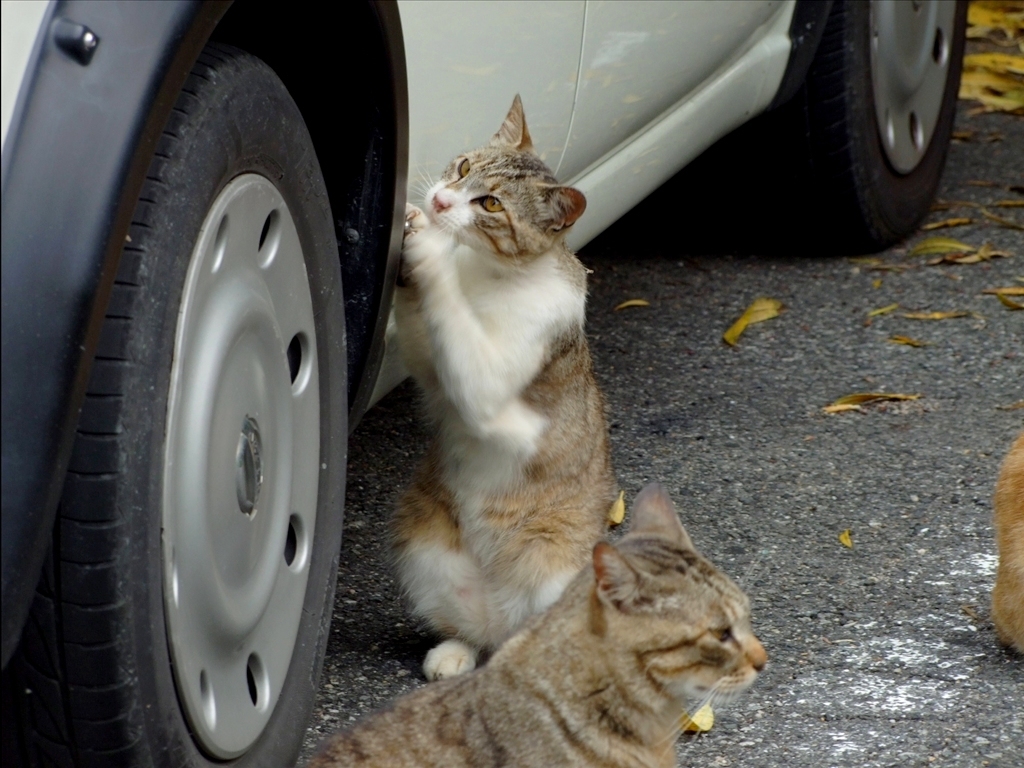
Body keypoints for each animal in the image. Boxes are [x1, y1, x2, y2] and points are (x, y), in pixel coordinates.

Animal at [391, 94, 614, 679]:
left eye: (489, 203)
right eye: (465, 167)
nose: (440, 200)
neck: (485, 271)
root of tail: (504, 618)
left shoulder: (492, 388)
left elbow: (462, 342)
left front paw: (426, 248)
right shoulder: (434, 370)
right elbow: (428, 344)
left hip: (559, 561)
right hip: (424, 540)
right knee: (476, 633)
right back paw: (457, 651)